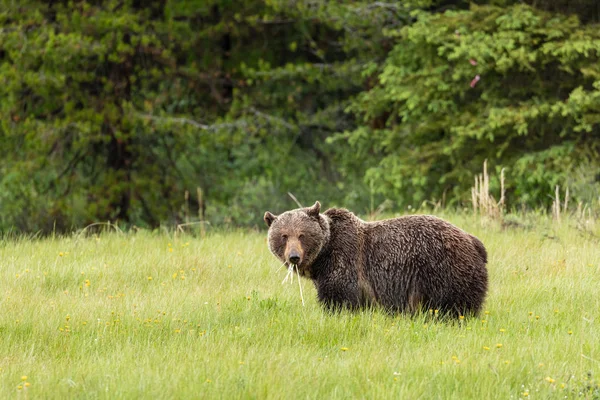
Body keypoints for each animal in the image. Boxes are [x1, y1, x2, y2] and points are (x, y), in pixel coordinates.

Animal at [264, 202, 490, 318]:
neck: (323, 256)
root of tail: (474, 241)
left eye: (302, 234)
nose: (294, 257)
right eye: (284, 235)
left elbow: (340, 297)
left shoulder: (345, 262)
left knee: (455, 305)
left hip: (445, 269)